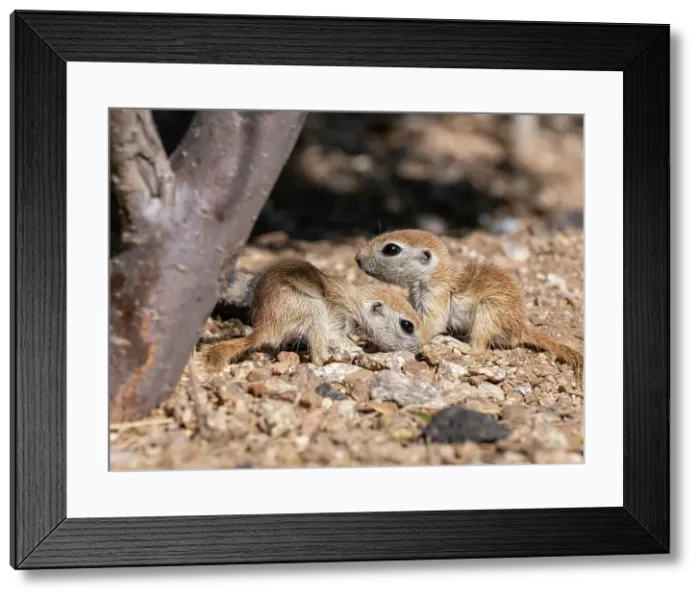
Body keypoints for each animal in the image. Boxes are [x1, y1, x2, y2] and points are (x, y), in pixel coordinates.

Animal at [199, 257, 424, 372]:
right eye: (407, 325)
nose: (419, 352)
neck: (356, 301)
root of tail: (264, 327)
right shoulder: (337, 317)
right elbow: (336, 336)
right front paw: (361, 350)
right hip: (313, 309)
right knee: (317, 358)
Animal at [354, 229, 583, 384]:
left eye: (391, 249)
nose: (357, 258)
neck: (436, 273)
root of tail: (521, 327)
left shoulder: (436, 294)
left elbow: (432, 324)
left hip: (488, 310)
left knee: (480, 349)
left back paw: (456, 344)